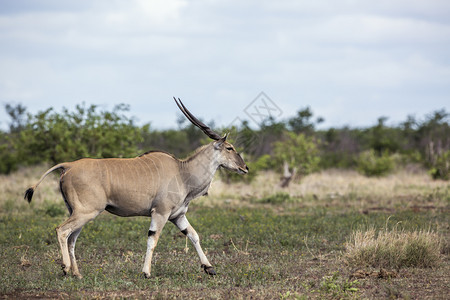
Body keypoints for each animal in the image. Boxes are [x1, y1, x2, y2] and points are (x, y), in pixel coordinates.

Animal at [23, 98, 250, 278]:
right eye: (230, 148)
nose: (245, 167)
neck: (182, 172)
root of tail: (68, 165)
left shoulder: (178, 216)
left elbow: (194, 235)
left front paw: (209, 268)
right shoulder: (160, 213)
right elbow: (152, 240)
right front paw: (146, 272)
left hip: (79, 213)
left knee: (72, 239)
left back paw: (77, 274)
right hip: (86, 212)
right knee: (62, 231)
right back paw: (65, 267)